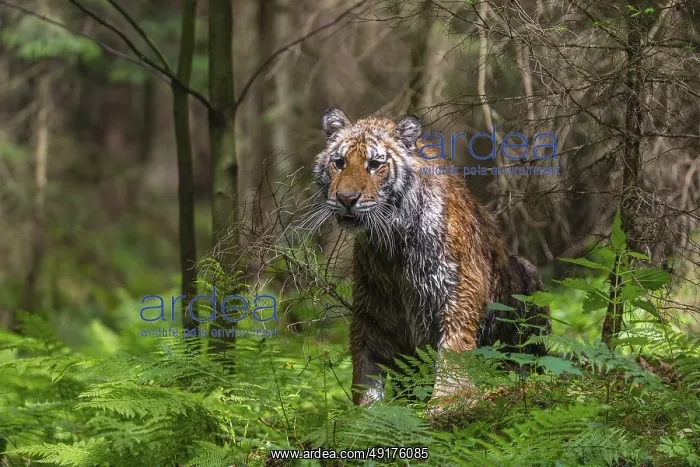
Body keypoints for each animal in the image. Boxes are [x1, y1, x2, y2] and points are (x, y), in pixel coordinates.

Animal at [308, 107, 551, 406]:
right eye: (339, 162)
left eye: (375, 164)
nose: (346, 198)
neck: (391, 243)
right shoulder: (371, 311)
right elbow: (366, 371)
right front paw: (366, 413)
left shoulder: (459, 292)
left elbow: (453, 351)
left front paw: (446, 401)